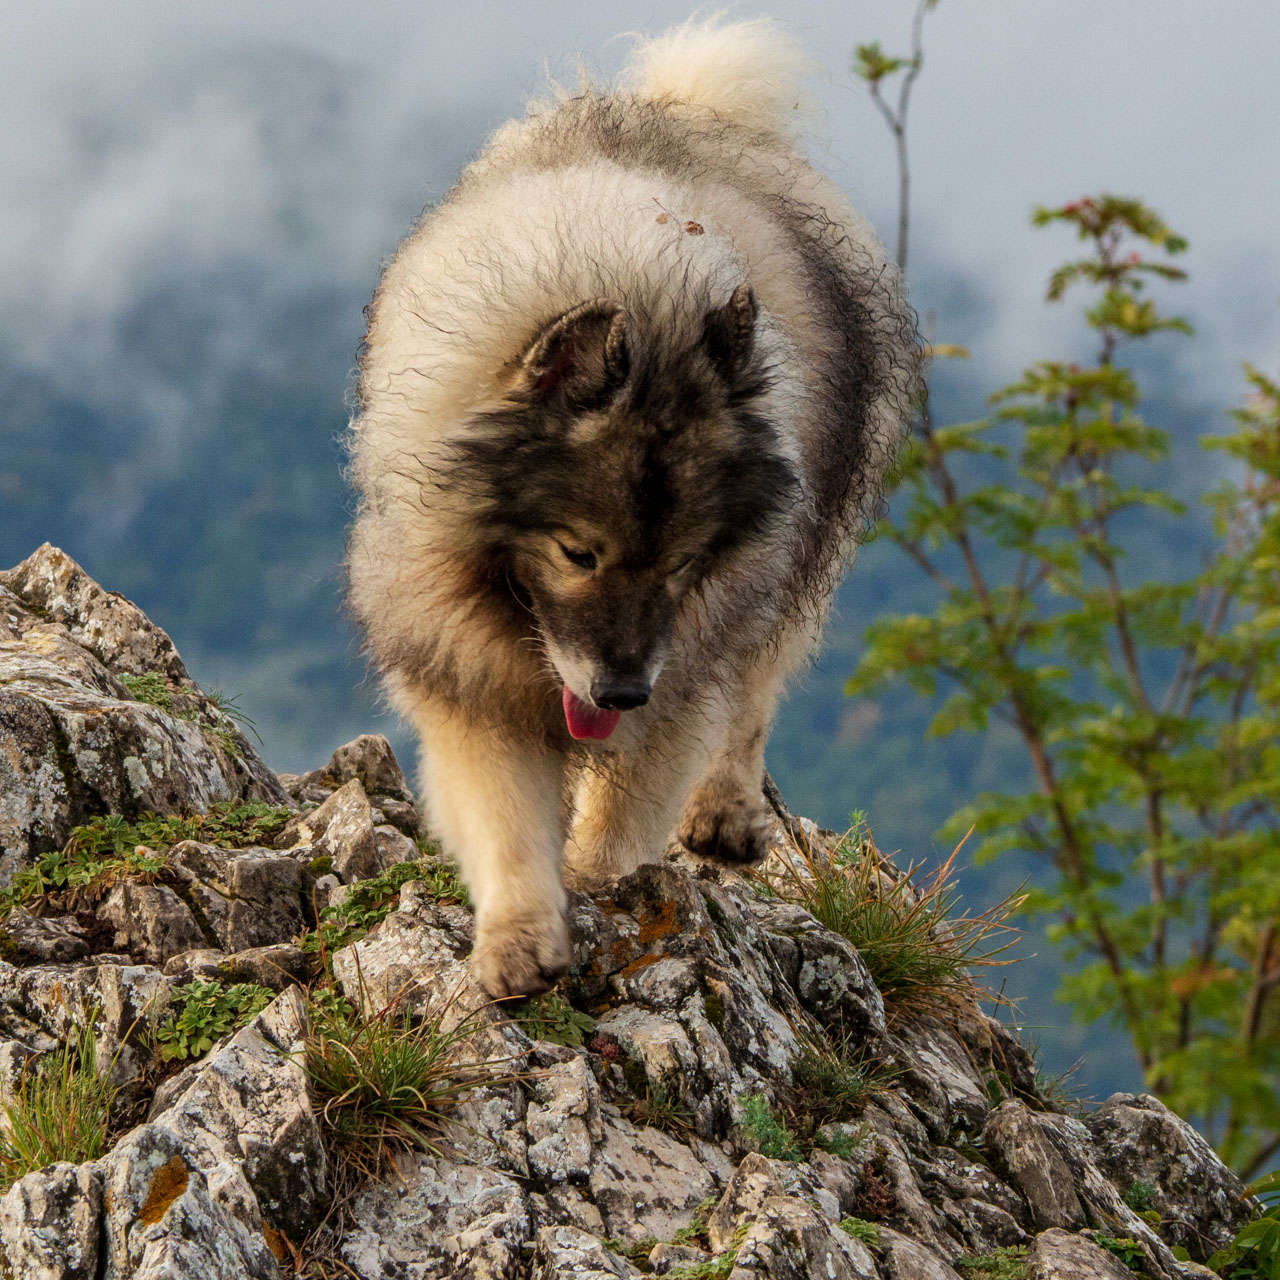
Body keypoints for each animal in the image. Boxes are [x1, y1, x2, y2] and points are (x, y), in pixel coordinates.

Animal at [345, 17, 916, 998]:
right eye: (579, 553)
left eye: (684, 562)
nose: (620, 689)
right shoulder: (469, 670)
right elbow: (503, 815)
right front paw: (519, 939)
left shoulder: (683, 666)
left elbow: (627, 807)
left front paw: (602, 886)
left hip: (796, 562)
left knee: (757, 690)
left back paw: (726, 813)